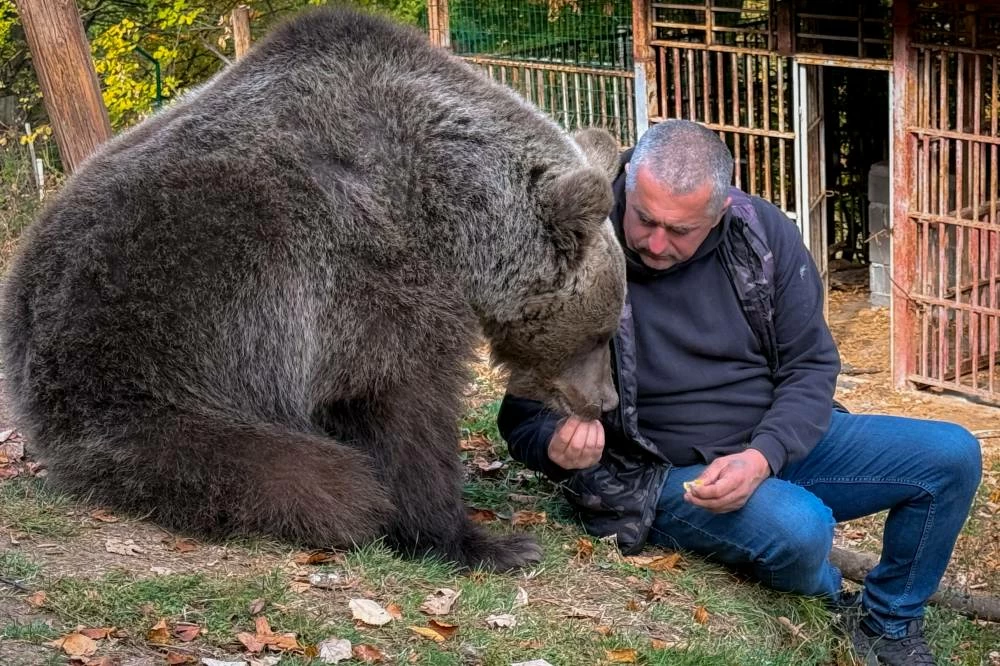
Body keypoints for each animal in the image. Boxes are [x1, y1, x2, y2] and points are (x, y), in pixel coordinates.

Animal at [0, 5, 626, 571]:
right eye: (601, 332)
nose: (604, 402)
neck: (450, 205)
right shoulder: (361, 272)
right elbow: (403, 407)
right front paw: (484, 542)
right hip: (157, 354)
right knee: (300, 477)